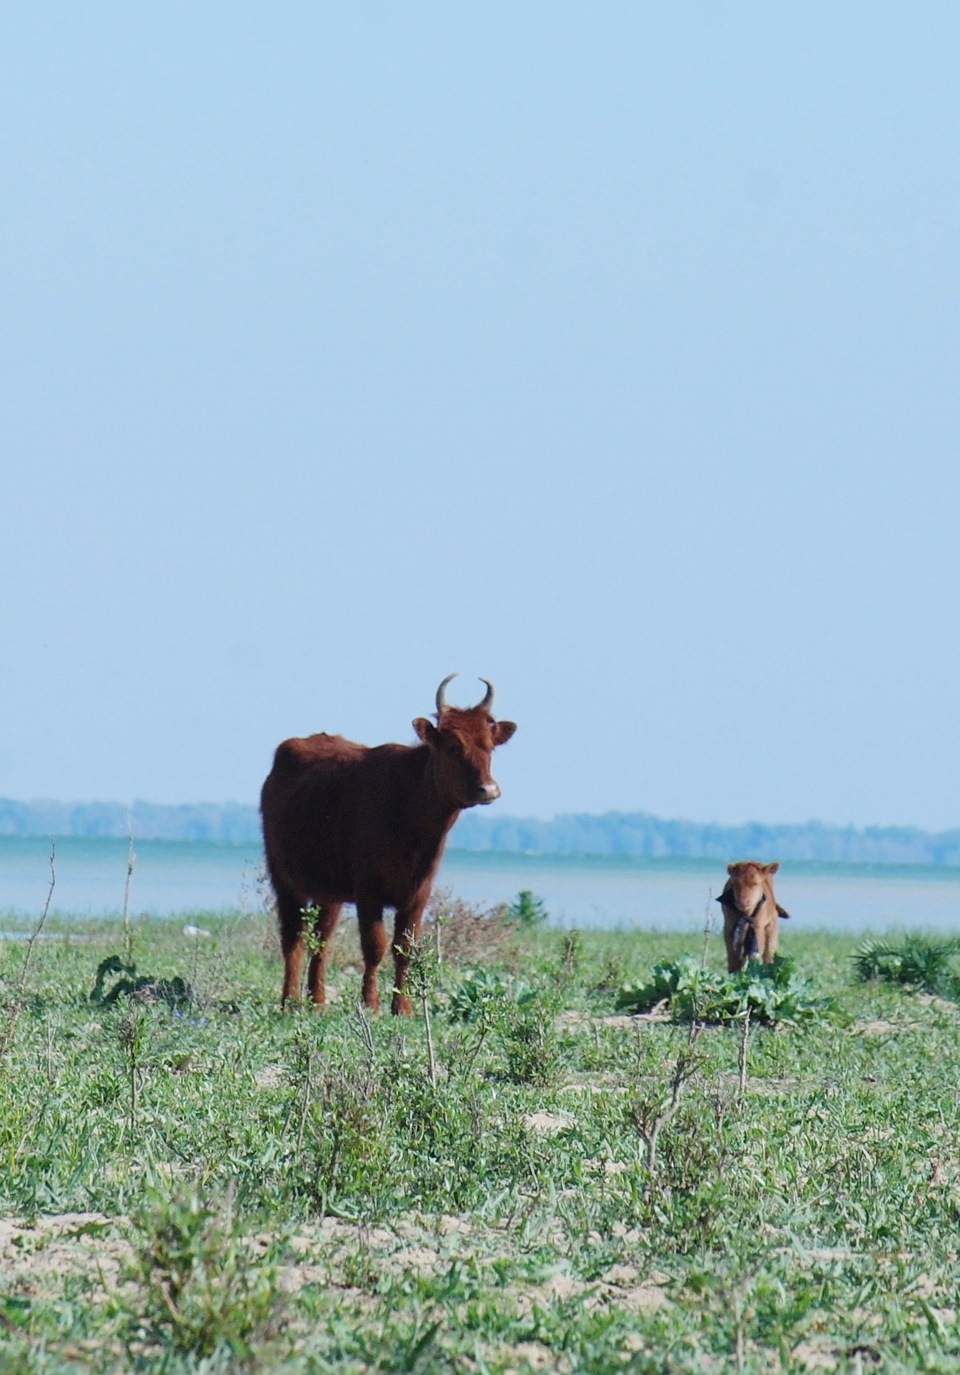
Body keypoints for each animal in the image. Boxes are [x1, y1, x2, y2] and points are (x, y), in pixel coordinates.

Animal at [261, 675, 517, 1014]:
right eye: (453, 747)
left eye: (489, 746)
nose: (488, 789)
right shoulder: (369, 891)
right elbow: (374, 946)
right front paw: (371, 1003)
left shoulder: (418, 894)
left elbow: (404, 948)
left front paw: (403, 1006)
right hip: (285, 879)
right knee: (294, 937)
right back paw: (289, 1000)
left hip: (329, 891)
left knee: (322, 939)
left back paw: (318, 1001)